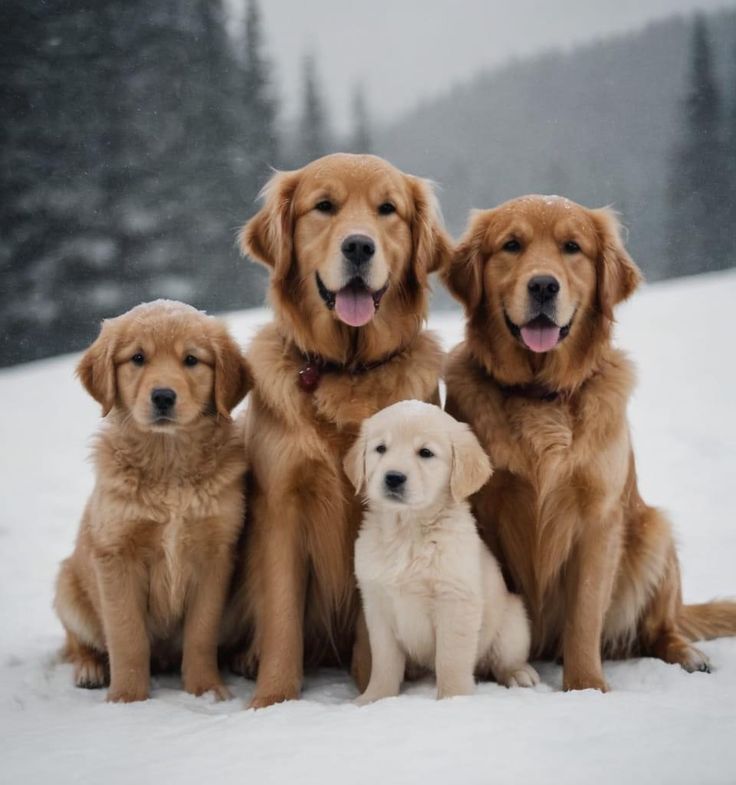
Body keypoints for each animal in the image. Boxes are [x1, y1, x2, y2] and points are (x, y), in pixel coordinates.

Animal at [54, 302, 250, 704]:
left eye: (191, 359)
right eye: (138, 358)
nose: (162, 396)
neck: (168, 463)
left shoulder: (215, 555)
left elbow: (201, 633)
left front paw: (206, 690)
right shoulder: (116, 555)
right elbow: (127, 636)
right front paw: (127, 699)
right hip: (66, 586)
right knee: (78, 643)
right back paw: (89, 670)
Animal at [224, 150, 452, 708]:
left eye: (387, 210)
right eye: (324, 206)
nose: (358, 246)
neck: (347, 369)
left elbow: (374, 630)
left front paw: (372, 688)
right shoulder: (281, 507)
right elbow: (282, 618)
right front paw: (272, 699)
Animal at [344, 398, 540, 704]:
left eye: (425, 453)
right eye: (381, 448)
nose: (393, 478)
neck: (407, 531)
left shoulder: (455, 602)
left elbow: (451, 660)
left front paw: (453, 700)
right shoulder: (377, 606)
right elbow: (384, 662)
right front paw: (374, 698)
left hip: (513, 620)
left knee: (500, 659)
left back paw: (518, 673)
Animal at [442, 198, 736, 692]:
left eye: (572, 247)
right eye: (512, 245)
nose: (544, 285)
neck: (541, 394)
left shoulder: (597, 518)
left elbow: (584, 617)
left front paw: (586, 687)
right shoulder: (485, 513)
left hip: (652, 533)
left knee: (661, 628)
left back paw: (688, 654)